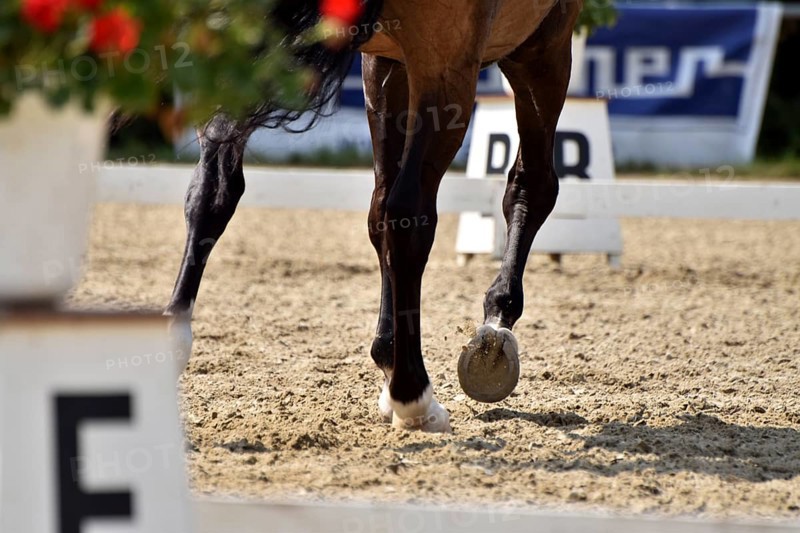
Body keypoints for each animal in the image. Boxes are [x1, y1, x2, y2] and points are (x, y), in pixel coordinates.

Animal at [165, 0, 582, 433]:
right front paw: (496, 326)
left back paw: (173, 339)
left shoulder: (385, 61)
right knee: (411, 213)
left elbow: (378, 214)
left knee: (212, 186)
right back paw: (415, 396)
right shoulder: (541, 44)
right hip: (450, 70)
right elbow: (532, 186)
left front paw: (387, 355)